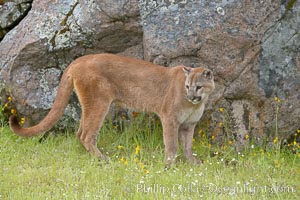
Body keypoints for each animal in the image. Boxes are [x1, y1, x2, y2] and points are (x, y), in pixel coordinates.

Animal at [9, 53, 214, 167]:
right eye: (187, 86)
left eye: (198, 87)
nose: (191, 96)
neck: (194, 105)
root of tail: (78, 60)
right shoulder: (169, 119)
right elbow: (172, 145)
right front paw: (169, 166)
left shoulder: (189, 124)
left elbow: (187, 146)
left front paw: (192, 163)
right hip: (99, 103)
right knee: (86, 134)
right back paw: (102, 159)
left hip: (91, 105)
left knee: (80, 132)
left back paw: (92, 157)